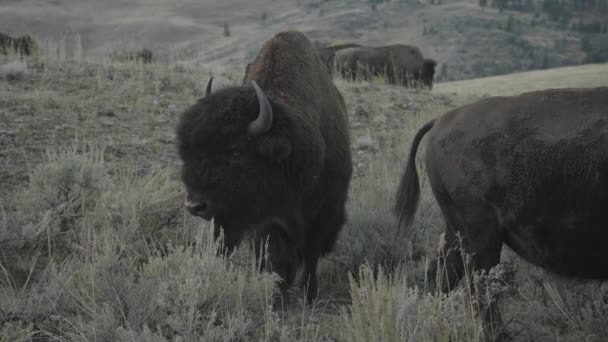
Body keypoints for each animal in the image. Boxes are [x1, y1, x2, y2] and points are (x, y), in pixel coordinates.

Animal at [177, 30, 352, 304]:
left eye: (236, 151)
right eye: (189, 154)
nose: (195, 205)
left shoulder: (325, 212)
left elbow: (312, 254)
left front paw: (308, 294)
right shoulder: (268, 222)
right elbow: (275, 257)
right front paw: (277, 297)